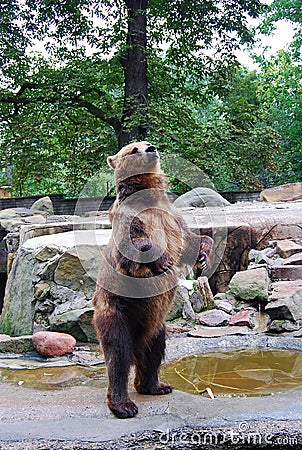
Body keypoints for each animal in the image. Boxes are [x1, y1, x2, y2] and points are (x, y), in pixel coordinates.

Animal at [93, 141, 214, 418]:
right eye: (133, 149)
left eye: (146, 143)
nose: (151, 148)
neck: (147, 194)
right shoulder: (130, 220)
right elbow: (136, 245)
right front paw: (165, 261)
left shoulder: (172, 216)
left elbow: (189, 240)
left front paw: (204, 255)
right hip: (117, 309)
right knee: (118, 354)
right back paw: (123, 405)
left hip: (155, 323)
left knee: (153, 349)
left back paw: (155, 385)